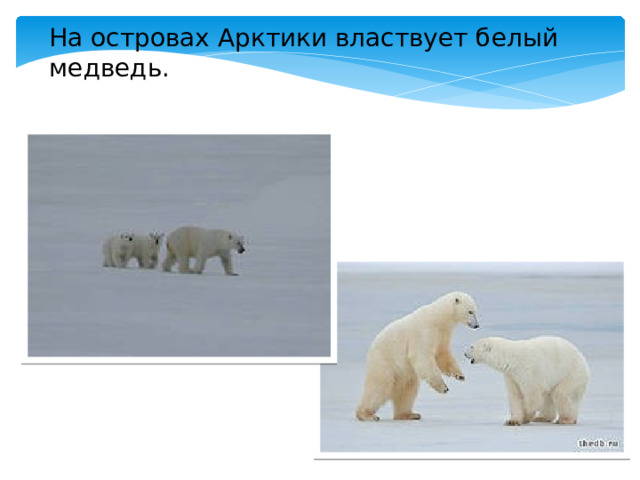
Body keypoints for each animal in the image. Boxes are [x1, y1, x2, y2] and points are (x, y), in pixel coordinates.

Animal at [355, 291, 480, 421]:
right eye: (470, 311)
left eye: (475, 311)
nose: (477, 325)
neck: (437, 319)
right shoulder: (423, 333)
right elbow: (423, 358)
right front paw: (443, 387)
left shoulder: (442, 335)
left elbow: (442, 354)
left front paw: (459, 375)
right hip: (384, 363)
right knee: (379, 388)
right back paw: (367, 414)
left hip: (403, 374)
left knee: (407, 391)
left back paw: (408, 414)